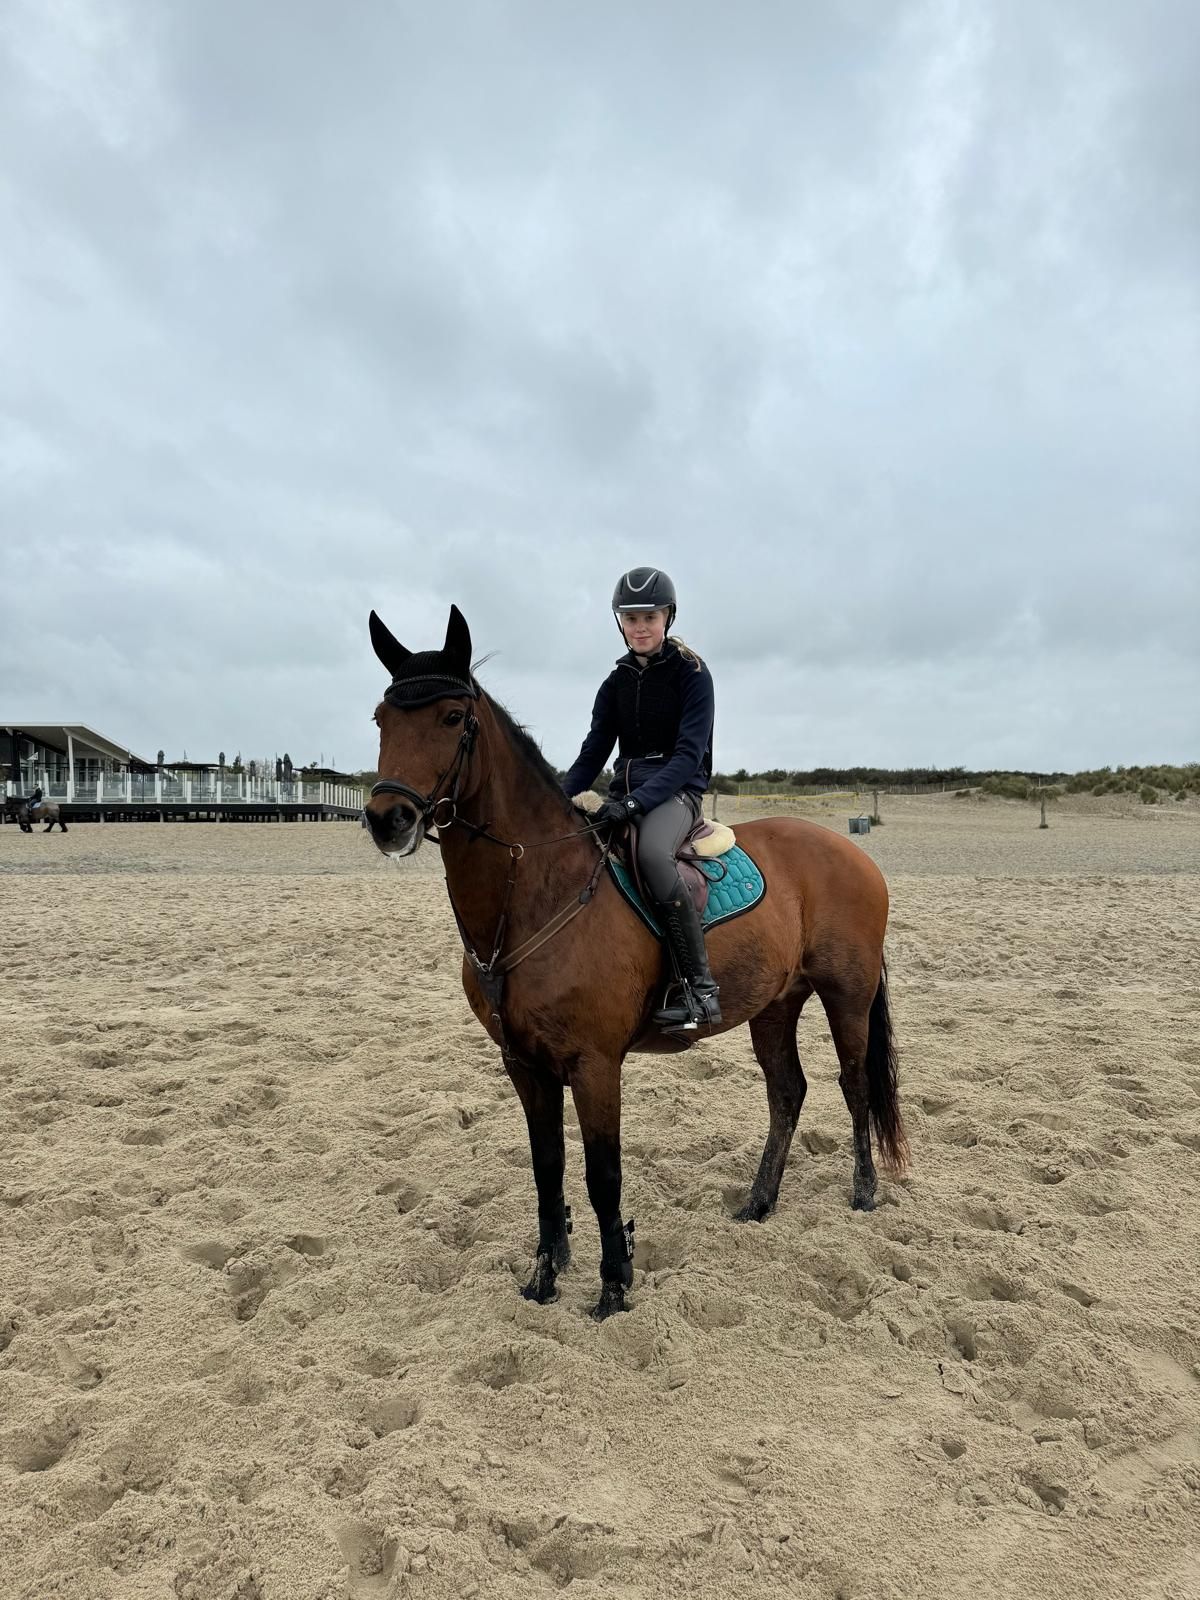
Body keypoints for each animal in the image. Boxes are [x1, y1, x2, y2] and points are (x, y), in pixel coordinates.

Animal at [363, 606, 907, 1320]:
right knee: (787, 1091)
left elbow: (603, 1175)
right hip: (776, 1004)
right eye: (381, 718)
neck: (537, 893)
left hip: (846, 994)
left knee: (854, 1083)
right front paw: (544, 1280)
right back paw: (759, 1202)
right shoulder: (524, 1065)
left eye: (454, 717)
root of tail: (854, 853)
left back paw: (864, 1191)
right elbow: (547, 1168)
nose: (387, 819)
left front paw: (614, 1286)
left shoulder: (595, 1065)